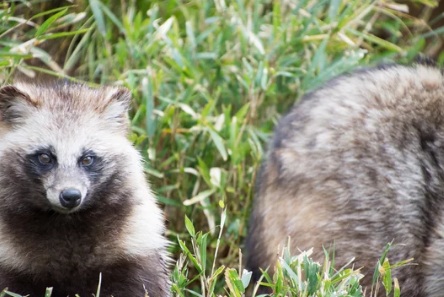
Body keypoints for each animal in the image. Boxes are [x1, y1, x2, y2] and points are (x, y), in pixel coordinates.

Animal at [0, 81, 170, 296]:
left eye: (87, 159)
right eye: (45, 157)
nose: (70, 196)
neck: (67, 220)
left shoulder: (135, 248)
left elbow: (142, 286)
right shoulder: (10, 259)